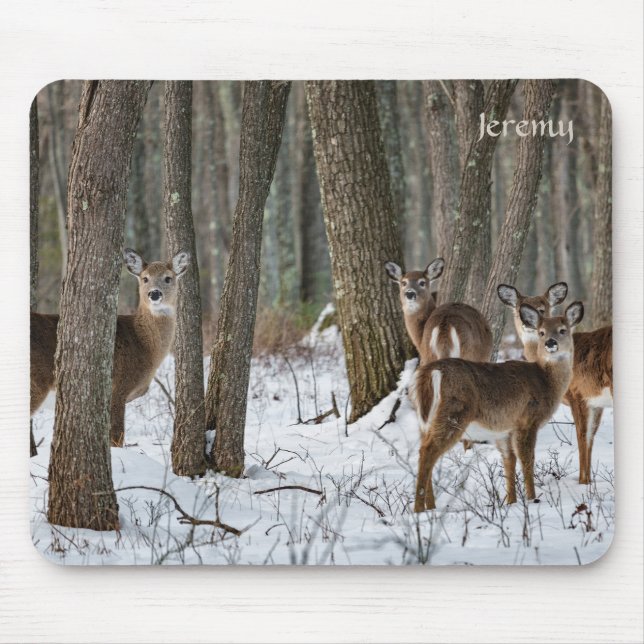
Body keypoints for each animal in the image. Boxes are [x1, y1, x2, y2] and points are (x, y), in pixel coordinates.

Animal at [30, 248, 190, 449]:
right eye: (145, 278)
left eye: (168, 278)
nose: (154, 294)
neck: (143, 343)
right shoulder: (119, 387)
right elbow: (116, 437)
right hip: (36, 382)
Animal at [411, 301, 584, 512]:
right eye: (541, 332)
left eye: (562, 330)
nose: (550, 343)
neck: (545, 381)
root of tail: (430, 372)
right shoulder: (527, 419)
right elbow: (527, 460)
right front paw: (532, 499)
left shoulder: (505, 430)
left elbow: (509, 461)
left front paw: (511, 502)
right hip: (454, 413)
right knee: (427, 451)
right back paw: (419, 509)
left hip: (425, 420)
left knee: (424, 451)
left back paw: (431, 507)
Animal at [497, 283, 612, 484]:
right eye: (519, 309)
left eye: (542, 308)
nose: (527, 323)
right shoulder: (596, 402)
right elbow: (591, 436)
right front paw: (589, 481)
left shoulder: (577, 393)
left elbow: (582, 436)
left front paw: (582, 481)